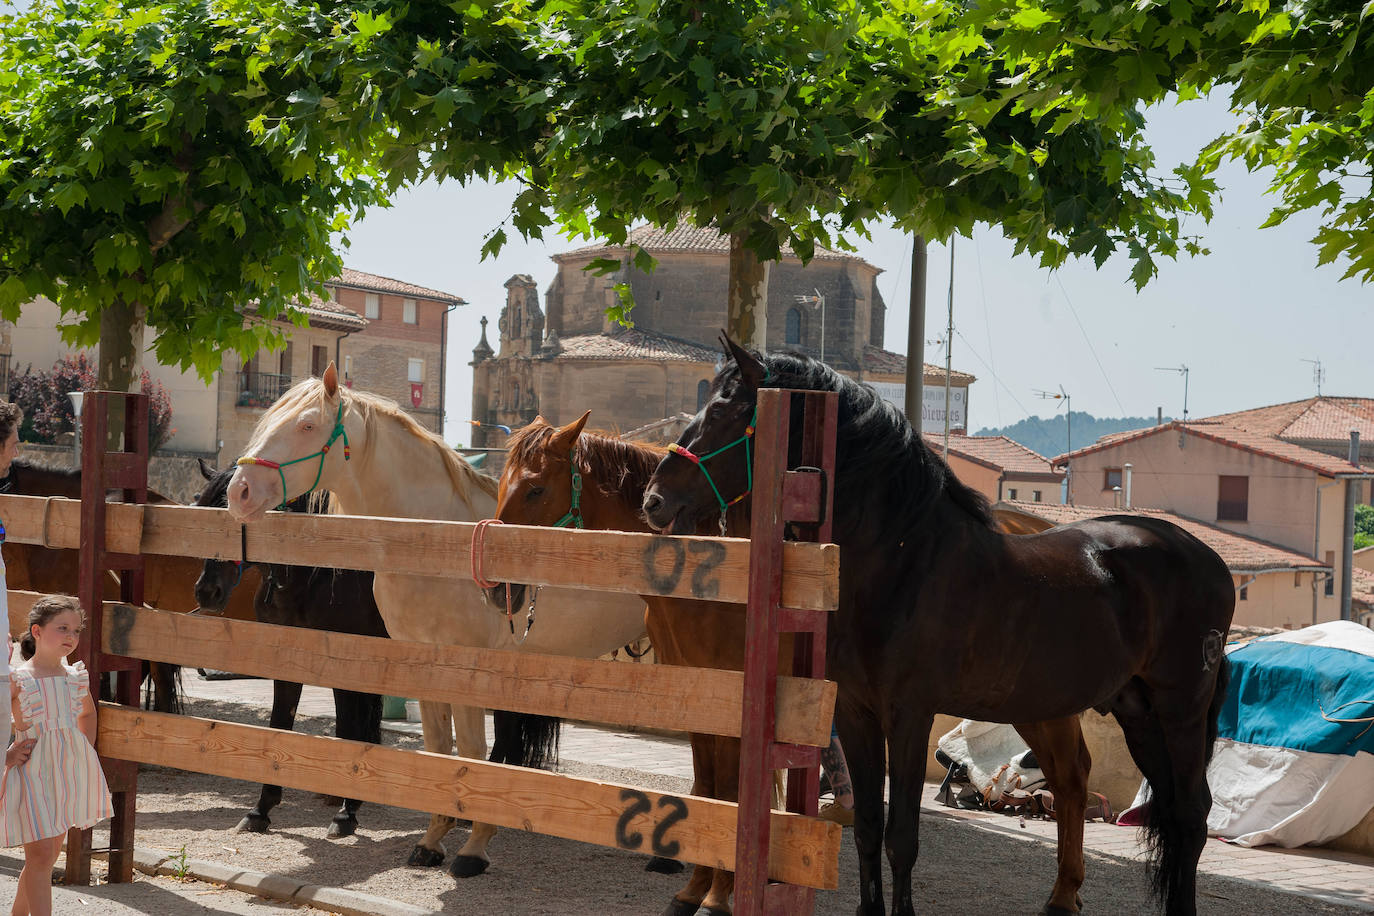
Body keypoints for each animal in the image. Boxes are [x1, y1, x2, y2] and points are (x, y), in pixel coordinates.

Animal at [193, 461, 387, 840]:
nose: (207, 592)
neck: (311, 573)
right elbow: (280, 723)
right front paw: (260, 810)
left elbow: (351, 728)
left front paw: (347, 813)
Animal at [226, 365, 648, 878]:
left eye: (307, 425)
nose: (239, 491)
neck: (436, 539)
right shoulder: (422, 665)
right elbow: (437, 750)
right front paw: (431, 842)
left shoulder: (468, 671)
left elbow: (470, 754)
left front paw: (473, 849)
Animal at [494, 414, 769, 916]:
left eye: (536, 489)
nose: (497, 585)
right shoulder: (694, 693)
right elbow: (707, 786)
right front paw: (693, 891)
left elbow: (729, 791)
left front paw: (719, 896)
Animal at [643, 341, 1236, 916]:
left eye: (727, 409)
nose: (655, 499)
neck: (902, 558)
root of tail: (1205, 558)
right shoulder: (854, 712)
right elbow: (867, 827)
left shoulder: (909, 714)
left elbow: (902, 837)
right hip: (1133, 712)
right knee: (1125, 796)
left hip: (1180, 712)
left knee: (1190, 814)